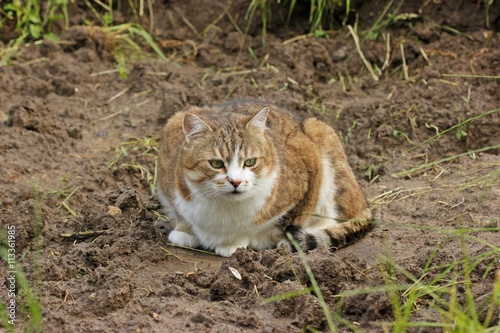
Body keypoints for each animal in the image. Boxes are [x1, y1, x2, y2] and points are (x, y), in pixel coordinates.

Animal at [158, 100, 374, 255]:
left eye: (250, 162)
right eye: (216, 164)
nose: (235, 182)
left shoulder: (309, 168)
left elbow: (296, 215)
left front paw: (236, 243)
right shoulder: (169, 154)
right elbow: (180, 211)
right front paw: (183, 231)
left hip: (320, 131)